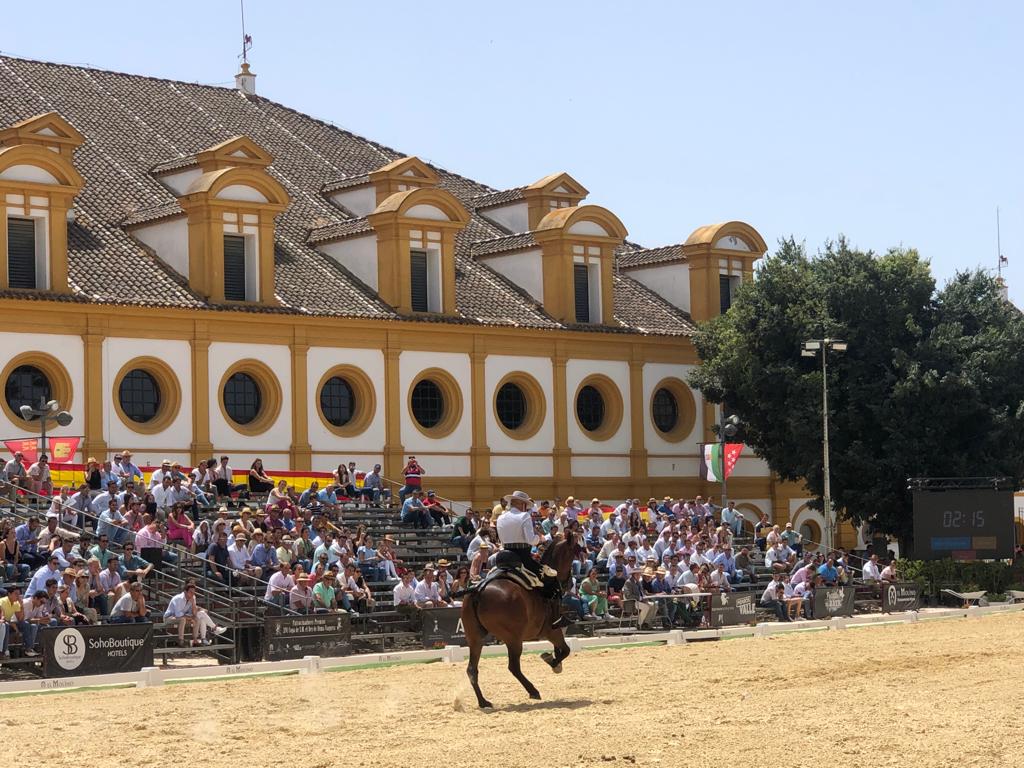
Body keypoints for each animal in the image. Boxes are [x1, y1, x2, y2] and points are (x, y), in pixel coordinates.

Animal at [460, 536, 581, 708]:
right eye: (572, 555)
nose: (570, 583)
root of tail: (478, 590)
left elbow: (563, 650)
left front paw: (554, 659)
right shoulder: (552, 630)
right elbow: (565, 650)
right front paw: (552, 662)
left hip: (475, 639)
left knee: (472, 669)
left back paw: (483, 702)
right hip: (513, 639)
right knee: (513, 667)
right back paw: (533, 691)